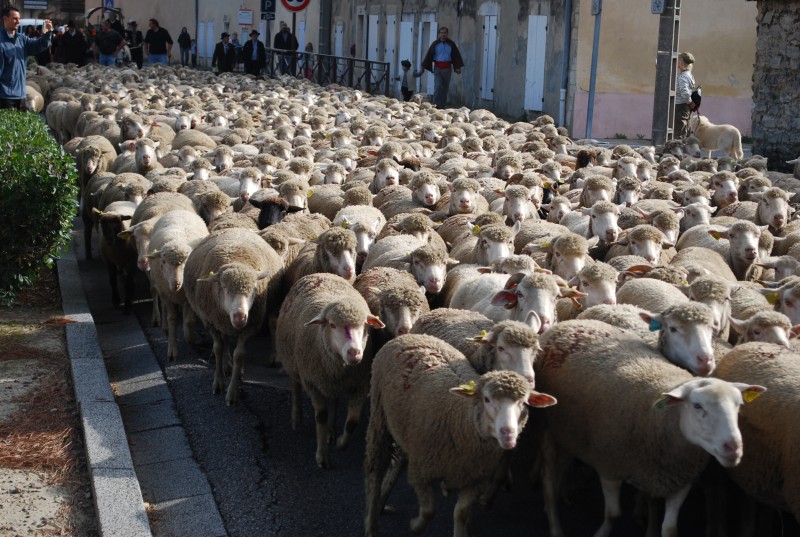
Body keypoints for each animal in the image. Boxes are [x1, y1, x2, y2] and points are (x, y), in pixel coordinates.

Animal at [183, 227, 286, 406]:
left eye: (254, 288)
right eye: (224, 287)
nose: (240, 317)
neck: (236, 259)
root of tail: (234, 227)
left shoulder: (250, 326)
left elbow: (239, 355)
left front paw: (233, 391)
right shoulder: (210, 321)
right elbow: (218, 348)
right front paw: (218, 383)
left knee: (272, 323)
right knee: (225, 340)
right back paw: (226, 365)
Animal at [276, 272, 386, 464]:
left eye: (365, 325)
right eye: (333, 325)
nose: (354, 352)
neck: (340, 367)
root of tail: (321, 273)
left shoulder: (360, 384)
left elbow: (352, 422)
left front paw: (342, 443)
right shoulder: (312, 383)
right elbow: (320, 416)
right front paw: (322, 456)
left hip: (330, 383)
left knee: (334, 400)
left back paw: (331, 431)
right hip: (293, 363)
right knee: (295, 386)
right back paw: (296, 418)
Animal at [364, 336, 556, 536]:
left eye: (524, 403)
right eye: (486, 399)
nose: (508, 433)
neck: (461, 417)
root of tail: (408, 336)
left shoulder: (474, 479)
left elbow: (460, 513)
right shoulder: (420, 472)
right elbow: (428, 510)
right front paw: (415, 525)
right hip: (378, 417)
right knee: (374, 471)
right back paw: (371, 521)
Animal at [536, 318, 764, 536]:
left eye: (738, 405)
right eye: (697, 406)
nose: (733, 449)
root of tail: (570, 323)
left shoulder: (678, 480)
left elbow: (670, 528)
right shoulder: (608, 466)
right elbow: (613, 514)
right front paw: (600, 533)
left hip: (569, 431)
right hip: (548, 428)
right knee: (548, 481)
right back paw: (554, 521)